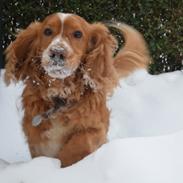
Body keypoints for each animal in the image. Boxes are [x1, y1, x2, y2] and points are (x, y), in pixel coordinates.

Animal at [4, 12, 150, 167]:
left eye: (78, 34)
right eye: (47, 31)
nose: (57, 52)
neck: (60, 94)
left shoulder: (96, 129)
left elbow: (79, 141)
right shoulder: (34, 134)